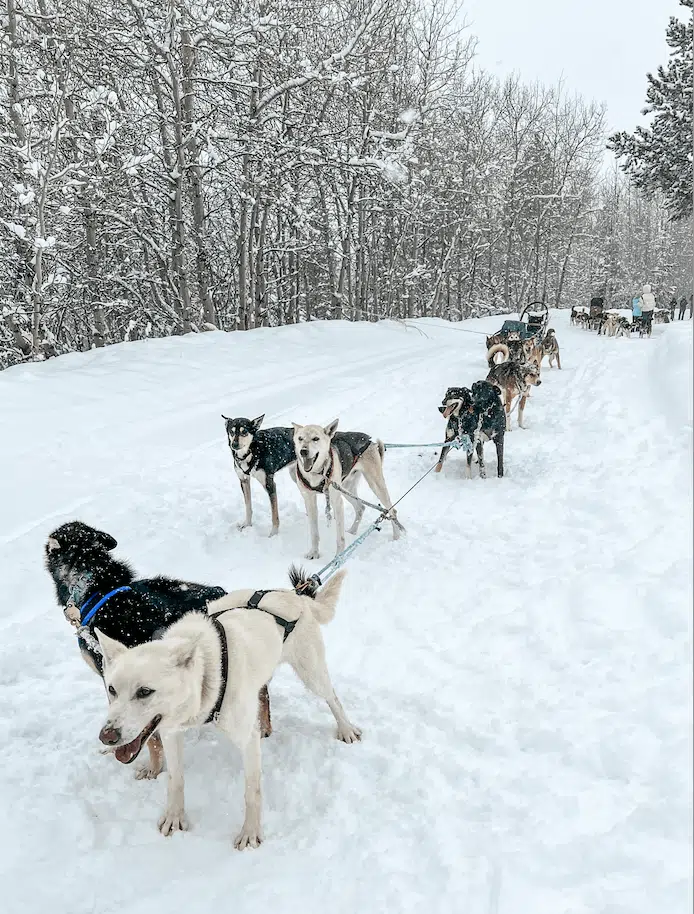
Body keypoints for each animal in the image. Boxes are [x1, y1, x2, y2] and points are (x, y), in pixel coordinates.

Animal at [96, 568, 358, 852]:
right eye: (111, 689)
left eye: (145, 691)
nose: (106, 736)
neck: (209, 674)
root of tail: (296, 595)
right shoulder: (170, 732)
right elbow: (175, 779)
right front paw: (175, 817)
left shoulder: (246, 740)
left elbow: (252, 791)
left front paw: (250, 833)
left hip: (312, 674)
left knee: (333, 698)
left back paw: (346, 729)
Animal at [292, 418, 402, 560]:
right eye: (300, 438)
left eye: (315, 438)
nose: (303, 451)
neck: (317, 473)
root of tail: (370, 441)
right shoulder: (309, 501)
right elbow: (314, 533)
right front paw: (314, 553)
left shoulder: (337, 502)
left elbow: (340, 537)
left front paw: (338, 557)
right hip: (346, 488)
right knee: (361, 507)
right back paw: (352, 532)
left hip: (375, 485)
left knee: (392, 510)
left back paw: (396, 536)